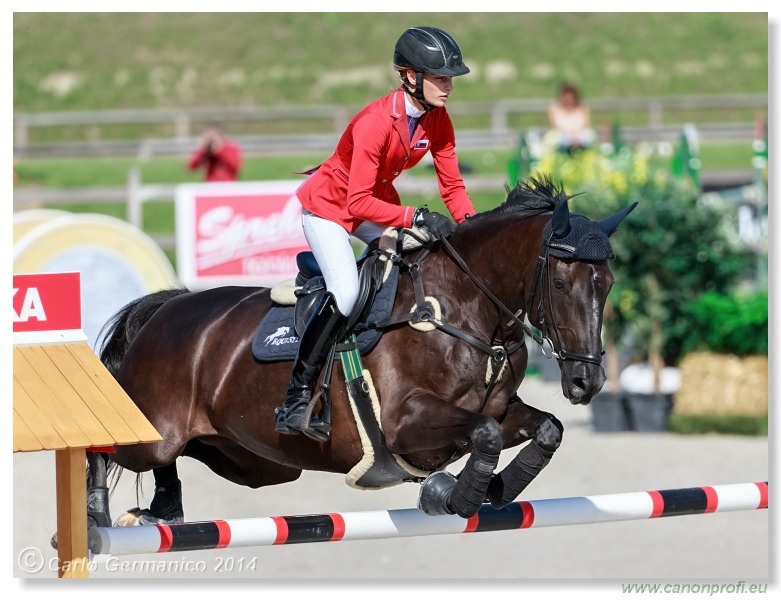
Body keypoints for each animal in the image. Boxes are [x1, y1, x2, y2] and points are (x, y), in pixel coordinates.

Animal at [87, 177, 632, 524]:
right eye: (559, 282)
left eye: (607, 284)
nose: (586, 382)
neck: (465, 309)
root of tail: (168, 308)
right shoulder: (404, 422)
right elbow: (484, 434)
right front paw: (455, 496)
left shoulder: (502, 408)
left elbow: (545, 428)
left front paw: (491, 490)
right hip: (154, 431)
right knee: (108, 445)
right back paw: (97, 512)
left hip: (256, 463)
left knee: (186, 457)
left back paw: (165, 509)